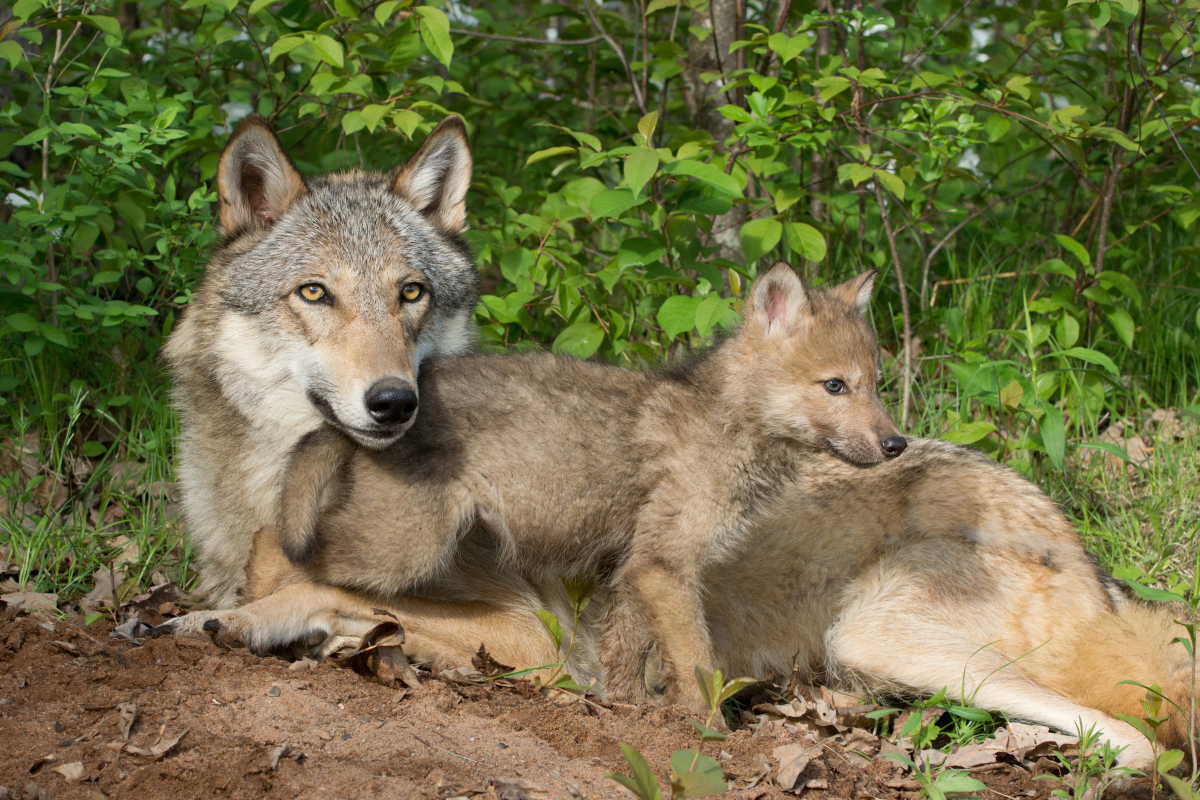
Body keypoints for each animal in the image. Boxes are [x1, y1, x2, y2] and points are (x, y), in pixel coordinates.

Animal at [166, 262, 902, 714]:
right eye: (835, 386)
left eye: (875, 384)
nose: (896, 443)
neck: (731, 424)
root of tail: (372, 412)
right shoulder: (666, 568)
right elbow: (699, 667)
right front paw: (708, 735)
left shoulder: (631, 570)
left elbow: (626, 658)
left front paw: (627, 713)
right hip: (400, 552)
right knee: (274, 541)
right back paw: (230, 619)